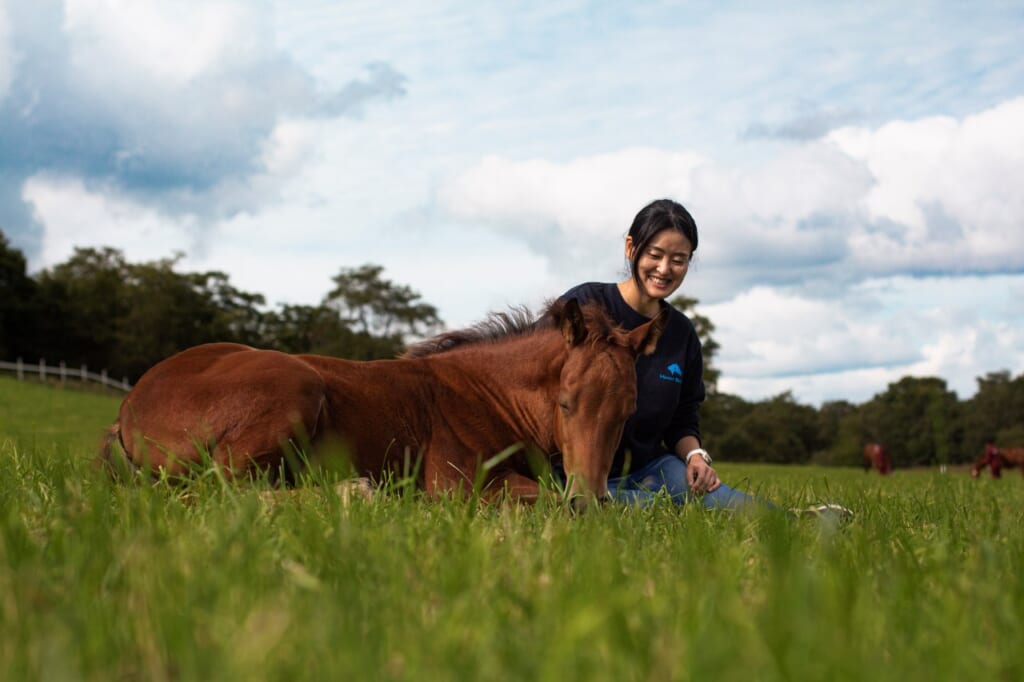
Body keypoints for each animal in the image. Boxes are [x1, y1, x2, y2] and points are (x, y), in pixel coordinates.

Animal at [99, 301, 667, 501]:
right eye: (566, 403)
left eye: (625, 415)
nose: (588, 501)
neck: (485, 396)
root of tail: (127, 408)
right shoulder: (457, 487)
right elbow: (541, 498)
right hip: (295, 388)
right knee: (224, 492)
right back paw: (359, 491)